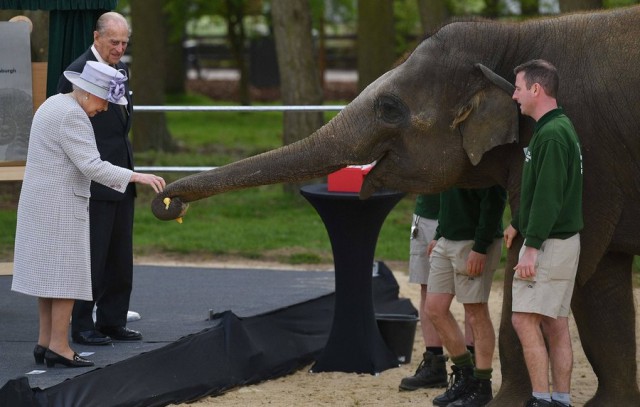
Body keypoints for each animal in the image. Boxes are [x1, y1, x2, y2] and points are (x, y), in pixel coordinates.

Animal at [154, 6, 640, 407]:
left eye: (388, 108)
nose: (167, 201)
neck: (512, 36)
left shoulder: (587, 160)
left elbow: (549, 266)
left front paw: (505, 405)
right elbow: (603, 283)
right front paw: (610, 405)